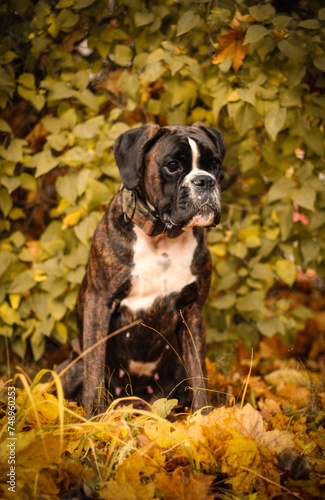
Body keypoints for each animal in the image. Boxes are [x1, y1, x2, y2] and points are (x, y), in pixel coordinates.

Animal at [57, 122, 225, 414]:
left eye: (214, 164)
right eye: (172, 165)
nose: (205, 180)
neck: (162, 239)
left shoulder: (192, 310)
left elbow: (199, 374)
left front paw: (204, 418)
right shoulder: (99, 303)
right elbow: (94, 369)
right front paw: (94, 417)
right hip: (70, 368)